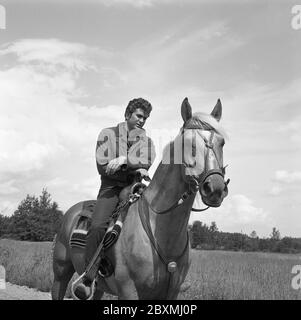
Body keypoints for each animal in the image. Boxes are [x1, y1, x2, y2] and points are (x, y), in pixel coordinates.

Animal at [51, 97, 227, 300]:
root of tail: (71, 212)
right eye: (187, 142)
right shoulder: (128, 291)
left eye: (222, 142)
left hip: (99, 287)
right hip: (61, 273)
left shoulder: (171, 293)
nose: (215, 188)